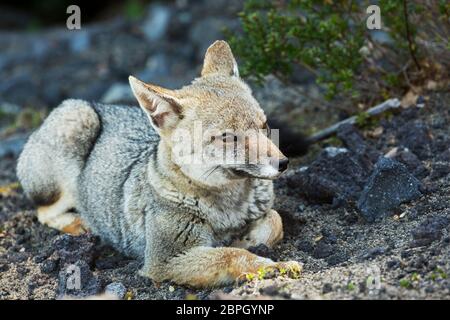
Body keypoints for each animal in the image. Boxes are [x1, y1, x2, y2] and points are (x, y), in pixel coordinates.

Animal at [17, 40, 300, 288]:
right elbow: (229, 255)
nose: (283, 163)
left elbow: (275, 220)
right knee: (43, 211)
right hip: (77, 124)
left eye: (264, 125)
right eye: (228, 138)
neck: (229, 208)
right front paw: (273, 266)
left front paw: (246, 240)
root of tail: (92, 103)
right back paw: (78, 224)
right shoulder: (163, 260)